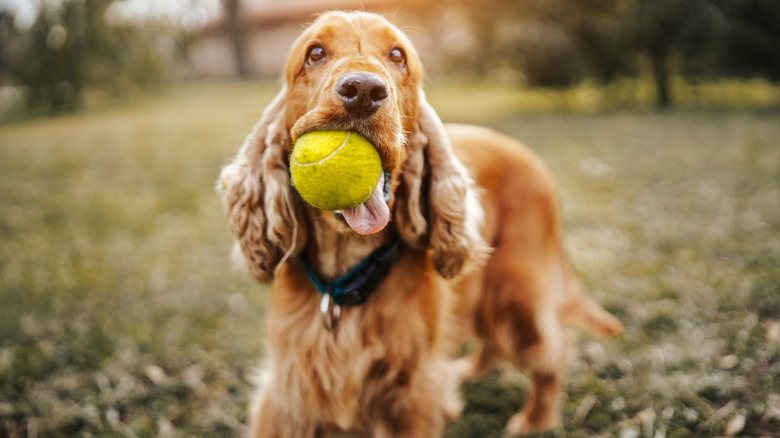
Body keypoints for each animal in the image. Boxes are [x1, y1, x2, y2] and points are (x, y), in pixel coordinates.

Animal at [219, 11, 620, 438]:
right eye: (314, 53)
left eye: (398, 56)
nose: (363, 90)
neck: (350, 271)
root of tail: (528, 155)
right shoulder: (291, 391)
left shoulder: (411, 393)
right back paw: (471, 371)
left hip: (516, 291)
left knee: (551, 352)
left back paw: (534, 419)